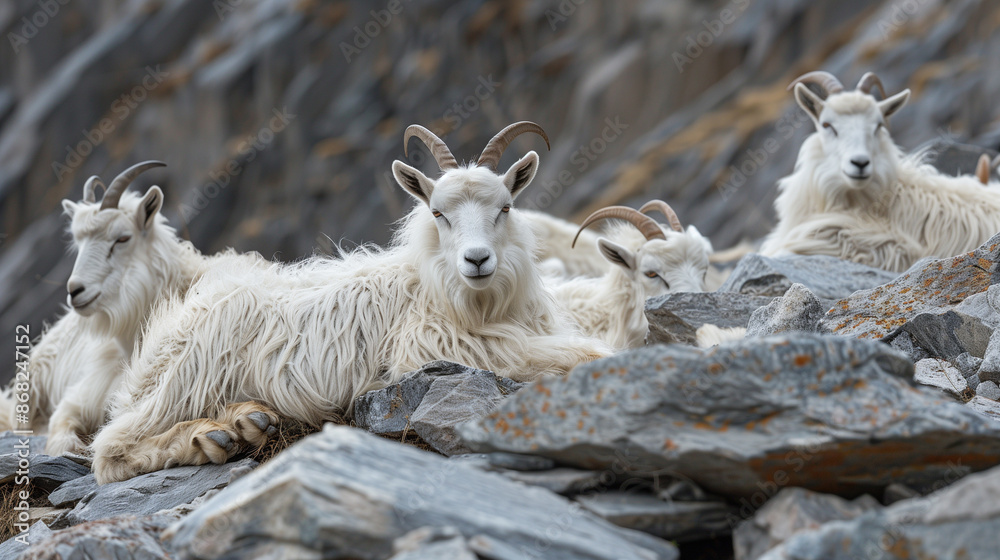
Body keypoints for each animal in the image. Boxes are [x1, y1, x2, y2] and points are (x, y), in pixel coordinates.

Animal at [89, 122, 612, 483]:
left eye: (505, 206)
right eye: (438, 213)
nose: (477, 259)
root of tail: (153, 351)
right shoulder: (432, 349)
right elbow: (574, 352)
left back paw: (246, 423)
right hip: (190, 373)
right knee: (110, 449)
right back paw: (208, 440)